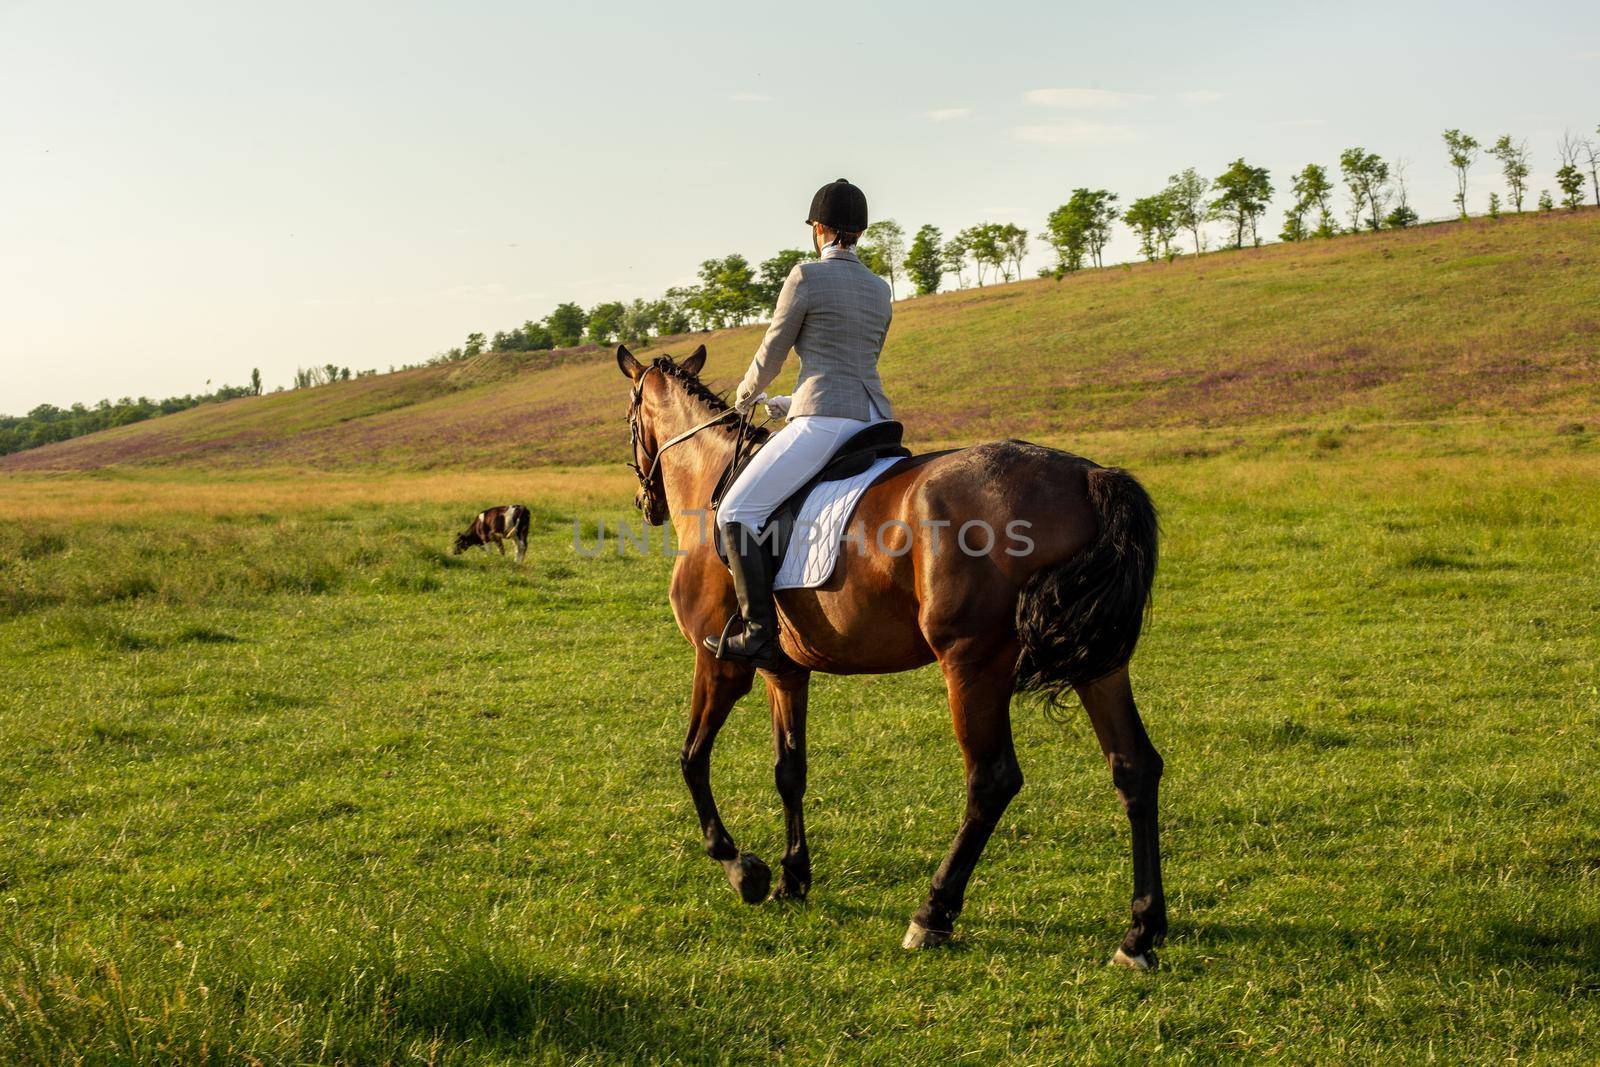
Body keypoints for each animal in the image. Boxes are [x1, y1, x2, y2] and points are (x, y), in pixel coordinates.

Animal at [614, 343, 1164, 966]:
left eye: (629, 418)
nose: (646, 503)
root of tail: (1088, 475)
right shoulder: (785, 672)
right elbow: (790, 770)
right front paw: (792, 879)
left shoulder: (721, 663)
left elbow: (692, 757)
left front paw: (742, 869)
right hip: (1099, 663)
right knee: (1134, 766)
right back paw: (1140, 933)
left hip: (971, 663)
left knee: (992, 779)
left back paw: (933, 913)